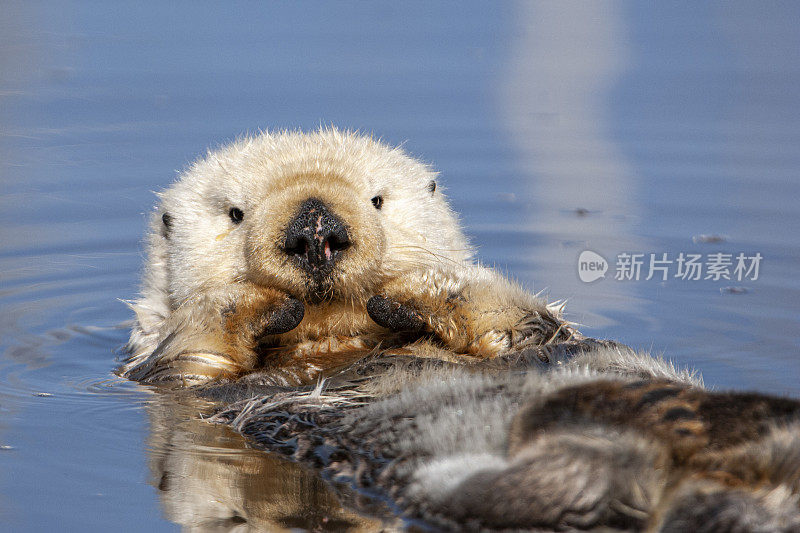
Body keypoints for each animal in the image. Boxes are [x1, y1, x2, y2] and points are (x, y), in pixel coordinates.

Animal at [120, 129, 576, 386]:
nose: (314, 231)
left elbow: (528, 325)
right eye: (235, 213)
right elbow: (192, 350)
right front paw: (252, 300)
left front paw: (422, 283)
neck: (329, 345)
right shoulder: (173, 379)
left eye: (377, 200)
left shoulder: (536, 347)